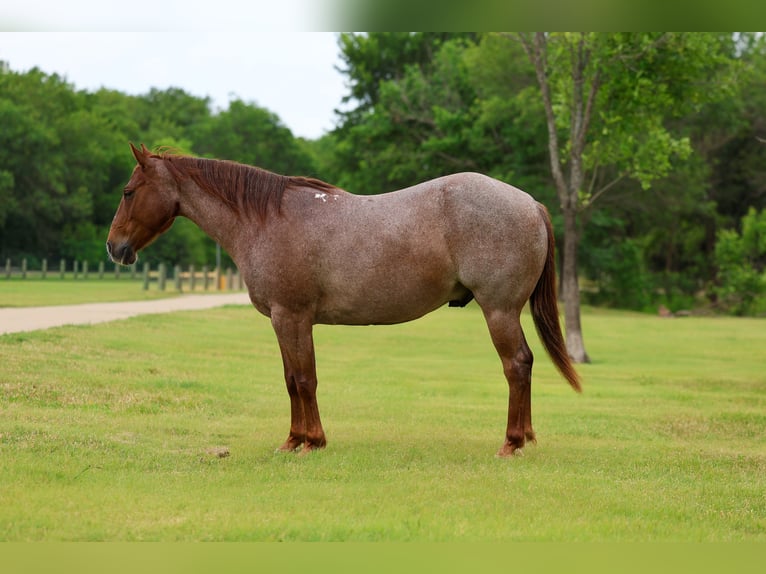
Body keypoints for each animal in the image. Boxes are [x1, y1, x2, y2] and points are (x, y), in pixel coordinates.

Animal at [107, 143, 581, 457]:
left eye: (128, 191)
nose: (114, 248)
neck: (265, 220)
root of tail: (529, 203)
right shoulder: (284, 321)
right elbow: (291, 379)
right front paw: (294, 439)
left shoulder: (291, 317)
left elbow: (304, 379)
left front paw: (310, 441)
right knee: (524, 365)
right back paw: (525, 437)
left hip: (499, 310)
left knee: (516, 365)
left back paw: (512, 443)